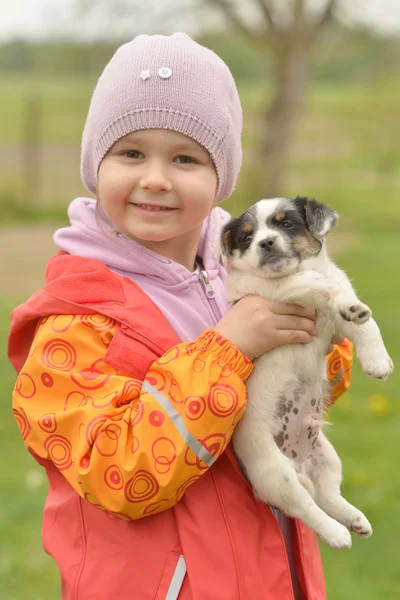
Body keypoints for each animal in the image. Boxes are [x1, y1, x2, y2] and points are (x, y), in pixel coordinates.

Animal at [222, 196, 394, 548]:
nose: (265, 243)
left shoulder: (335, 326)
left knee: (327, 494)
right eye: (247, 237)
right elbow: (319, 284)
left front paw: (377, 360)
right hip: (276, 475)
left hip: (326, 456)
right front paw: (341, 298)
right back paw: (338, 534)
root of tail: (298, 460)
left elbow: (365, 324)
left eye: (286, 223)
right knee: (305, 506)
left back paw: (356, 520)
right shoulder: (281, 290)